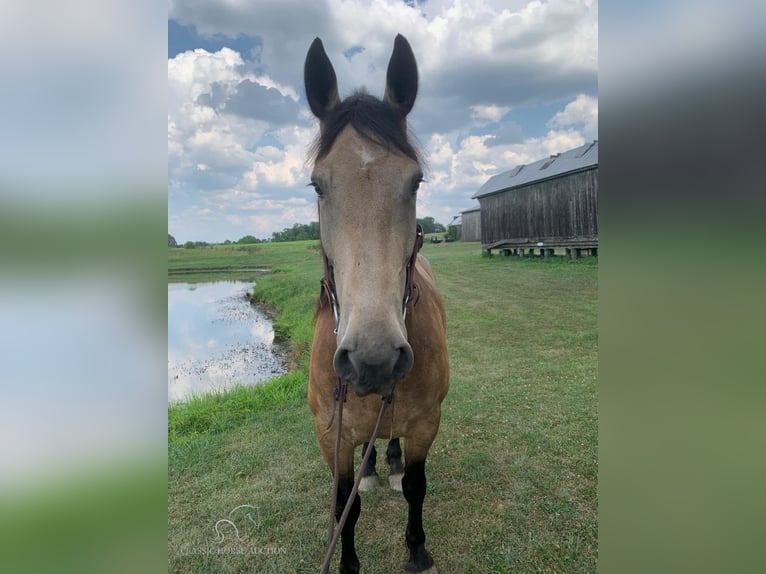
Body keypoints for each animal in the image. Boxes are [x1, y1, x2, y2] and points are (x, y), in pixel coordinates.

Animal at [304, 36, 450, 574]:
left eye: (416, 181)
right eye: (317, 184)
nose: (374, 358)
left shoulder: (427, 422)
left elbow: (417, 487)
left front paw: (418, 552)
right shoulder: (329, 435)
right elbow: (345, 504)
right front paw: (348, 564)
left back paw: (388, 461)